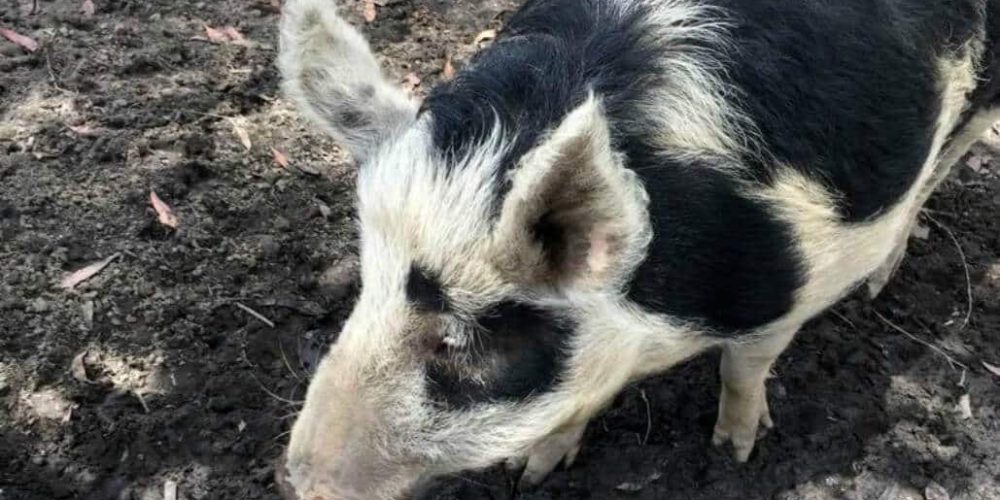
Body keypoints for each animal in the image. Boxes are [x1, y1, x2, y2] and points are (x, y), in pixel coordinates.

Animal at [274, 0, 1000, 498]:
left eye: (455, 339)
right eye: (365, 286)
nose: (301, 479)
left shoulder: (791, 291)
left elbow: (744, 368)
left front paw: (736, 450)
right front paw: (532, 470)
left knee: (950, 154)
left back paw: (882, 278)